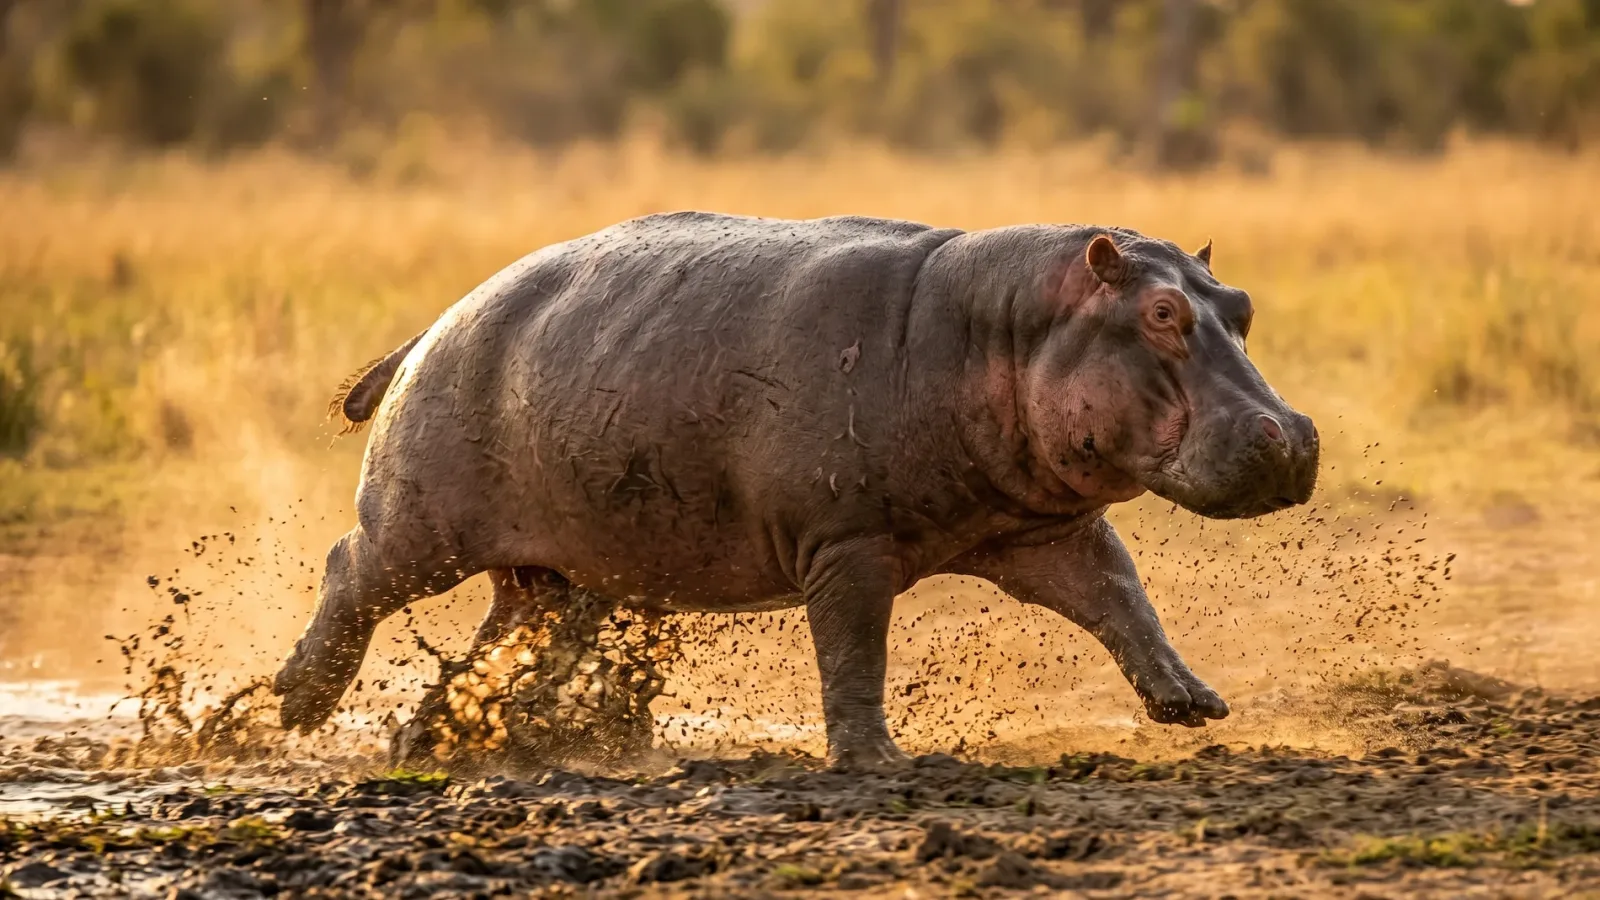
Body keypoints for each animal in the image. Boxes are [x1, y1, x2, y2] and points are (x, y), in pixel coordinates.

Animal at [274, 212, 1318, 768]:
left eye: (1241, 307)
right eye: (1162, 312)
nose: (1294, 438)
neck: (1004, 326)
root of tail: (430, 328)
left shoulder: (1041, 529)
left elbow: (1120, 596)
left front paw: (1195, 705)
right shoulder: (848, 544)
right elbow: (855, 650)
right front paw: (875, 761)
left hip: (563, 571)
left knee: (502, 644)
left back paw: (434, 744)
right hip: (423, 525)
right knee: (350, 569)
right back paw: (295, 707)